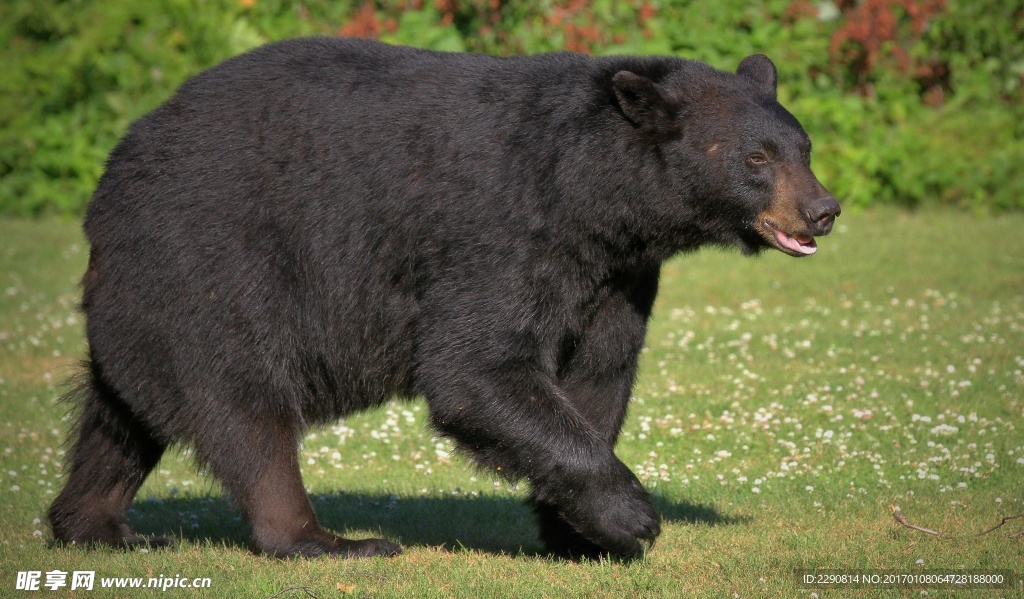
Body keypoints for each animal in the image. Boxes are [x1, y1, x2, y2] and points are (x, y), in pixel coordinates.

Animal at [49, 37, 839, 560]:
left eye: (802, 148)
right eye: (757, 157)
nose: (823, 210)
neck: (593, 195)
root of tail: (110, 180)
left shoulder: (615, 273)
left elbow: (598, 376)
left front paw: (575, 529)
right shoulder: (500, 229)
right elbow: (478, 367)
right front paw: (632, 515)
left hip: (144, 306)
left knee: (120, 415)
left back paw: (96, 523)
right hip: (213, 267)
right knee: (245, 408)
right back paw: (324, 539)